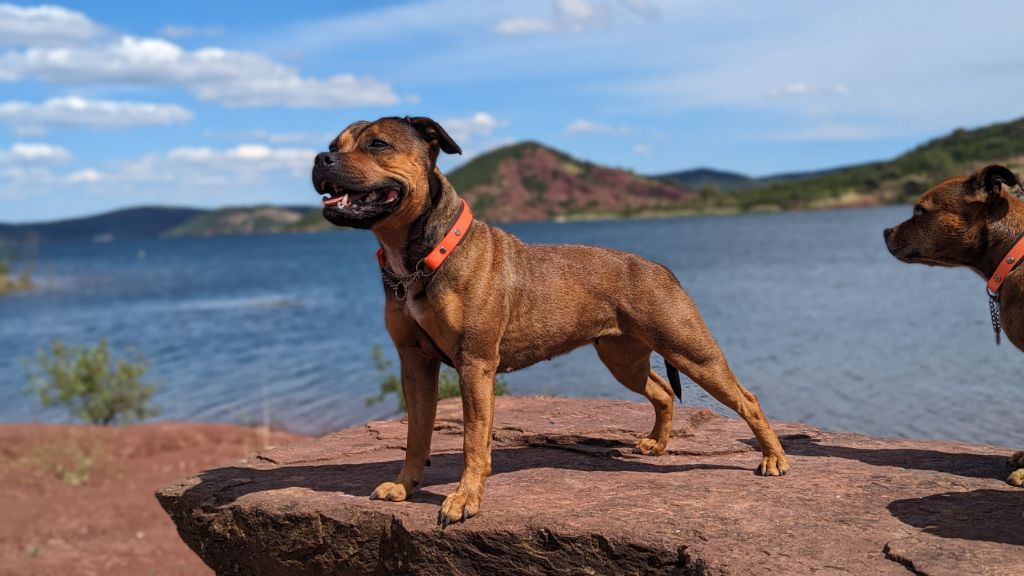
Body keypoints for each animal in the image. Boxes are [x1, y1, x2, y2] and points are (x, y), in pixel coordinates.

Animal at [312, 116, 790, 526]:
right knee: (661, 392)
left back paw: (773, 458)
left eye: (378, 144)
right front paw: (405, 487)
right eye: (335, 143)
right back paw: (657, 443)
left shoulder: (474, 364)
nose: (320, 158)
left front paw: (464, 499)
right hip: (624, 360)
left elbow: (472, 439)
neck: (420, 255)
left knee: (747, 399)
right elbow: (417, 434)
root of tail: (660, 269)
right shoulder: (415, 363)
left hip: (693, 353)